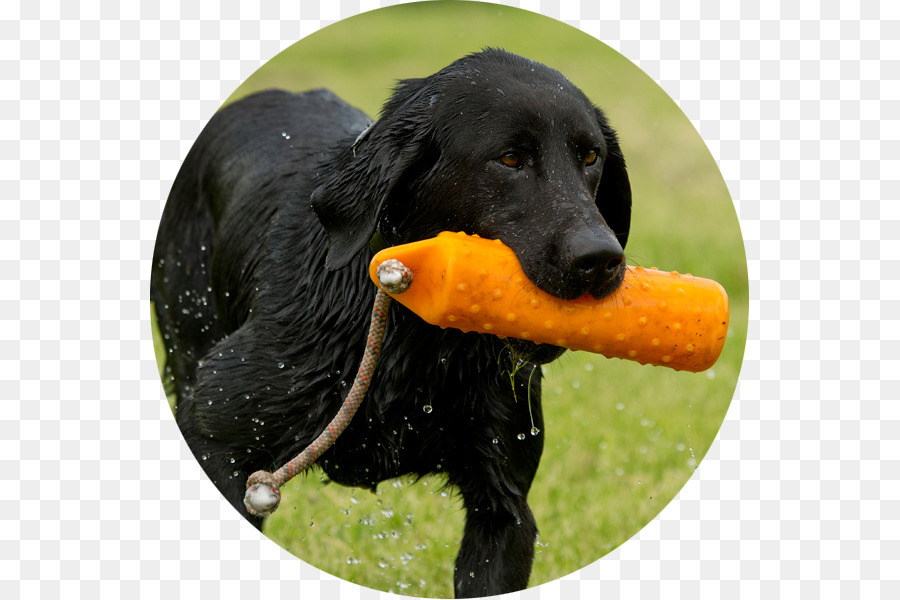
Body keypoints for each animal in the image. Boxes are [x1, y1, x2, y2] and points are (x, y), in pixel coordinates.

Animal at [153, 49, 632, 596]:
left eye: (591, 158)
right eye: (510, 159)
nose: (601, 259)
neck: (416, 340)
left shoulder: (503, 509)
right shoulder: (218, 437)